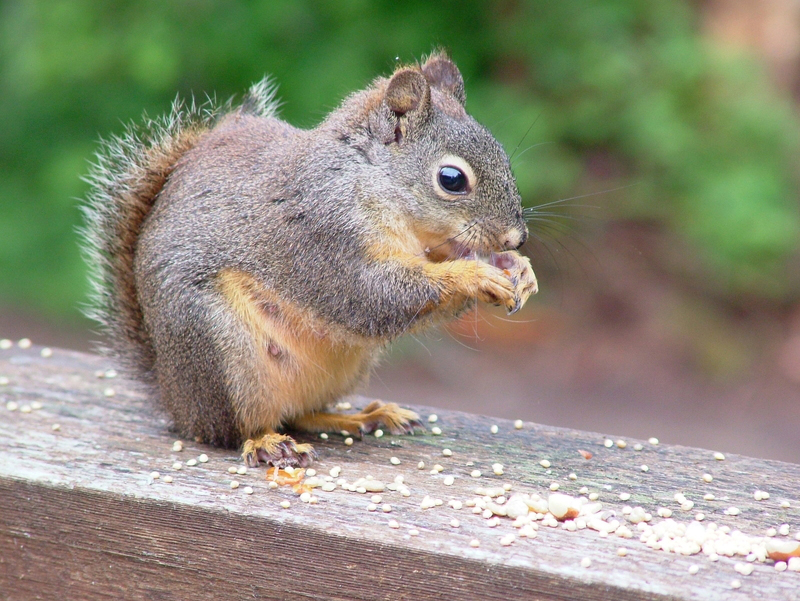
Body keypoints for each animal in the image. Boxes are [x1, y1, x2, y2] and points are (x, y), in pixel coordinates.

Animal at [82, 52, 537, 467]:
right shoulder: (324, 236)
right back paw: (267, 443)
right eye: (452, 179)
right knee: (238, 429)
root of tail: (175, 400)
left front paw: (519, 270)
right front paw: (477, 276)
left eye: (503, 156)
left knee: (301, 415)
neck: (367, 180)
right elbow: (375, 296)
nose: (517, 237)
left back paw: (361, 418)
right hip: (220, 348)